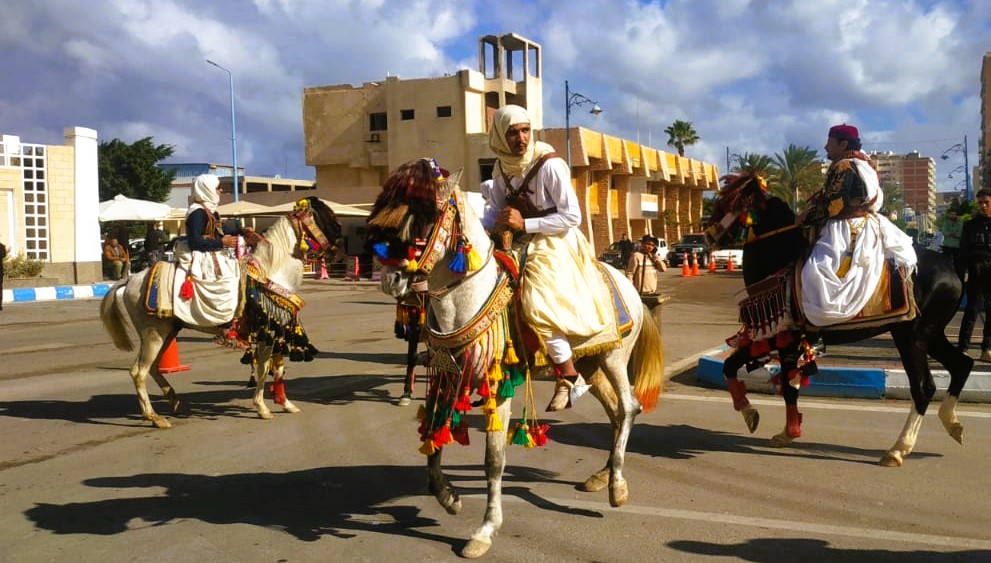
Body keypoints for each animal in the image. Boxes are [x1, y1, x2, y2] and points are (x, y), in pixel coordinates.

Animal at [99, 196, 342, 430]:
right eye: (326, 215)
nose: (340, 240)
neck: (271, 272)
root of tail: (131, 279)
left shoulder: (276, 330)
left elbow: (279, 368)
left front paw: (286, 404)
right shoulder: (267, 333)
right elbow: (264, 369)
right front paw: (262, 408)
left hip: (167, 332)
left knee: (154, 368)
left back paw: (174, 402)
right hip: (153, 334)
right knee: (138, 371)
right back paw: (155, 418)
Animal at [366, 160, 668, 560]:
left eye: (425, 219)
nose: (391, 280)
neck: (466, 300)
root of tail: (626, 282)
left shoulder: (498, 387)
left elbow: (494, 460)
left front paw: (484, 530)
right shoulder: (448, 377)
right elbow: (433, 436)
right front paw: (448, 498)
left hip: (615, 357)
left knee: (630, 406)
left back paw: (616, 485)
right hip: (591, 364)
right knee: (616, 412)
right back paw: (600, 473)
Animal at [708, 175, 980, 468]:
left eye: (726, 201)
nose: (706, 233)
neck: (780, 256)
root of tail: (951, 265)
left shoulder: (786, 338)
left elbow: (788, 388)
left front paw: (785, 431)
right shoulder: (770, 336)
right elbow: (731, 366)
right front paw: (753, 415)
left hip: (912, 338)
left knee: (923, 388)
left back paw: (898, 449)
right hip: (932, 335)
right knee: (962, 365)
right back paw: (952, 424)